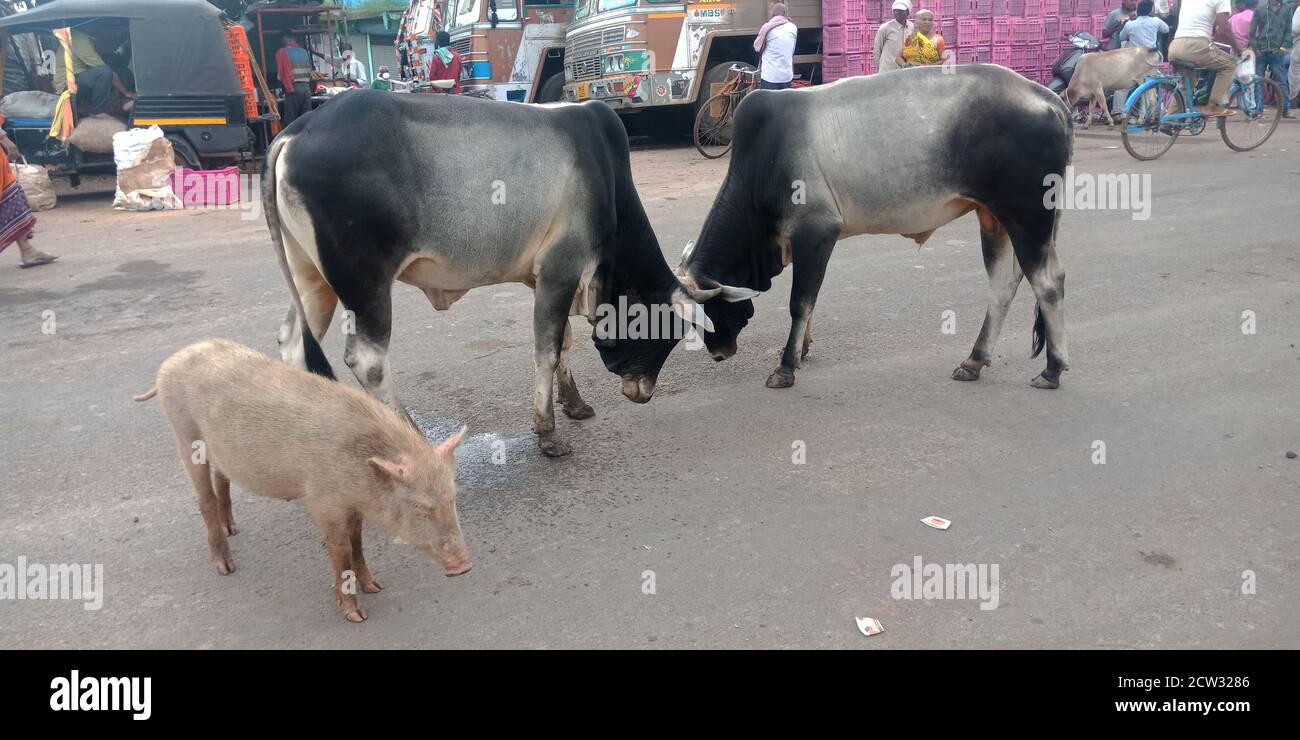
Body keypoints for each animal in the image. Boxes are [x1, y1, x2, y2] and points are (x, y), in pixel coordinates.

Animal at [262, 89, 712, 452]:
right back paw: (412, 437)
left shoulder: (545, 278)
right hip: (364, 283)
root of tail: (298, 130)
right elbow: (547, 350)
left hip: (313, 279)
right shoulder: (562, 268)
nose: (644, 393)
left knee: (292, 341)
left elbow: (564, 340)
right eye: (668, 331)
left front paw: (575, 404)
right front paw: (547, 433)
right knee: (367, 361)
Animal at [681, 65, 1076, 392]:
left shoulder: (816, 232)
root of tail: (1047, 97)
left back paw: (1052, 370)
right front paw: (802, 348)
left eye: (707, 314)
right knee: (1005, 287)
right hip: (995, 219)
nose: (719, 353)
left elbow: (800, 302)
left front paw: (786, 367)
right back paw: (974, 361)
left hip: (1027, 216)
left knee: (1047, 283)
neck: (765, 163)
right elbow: (811, 301)